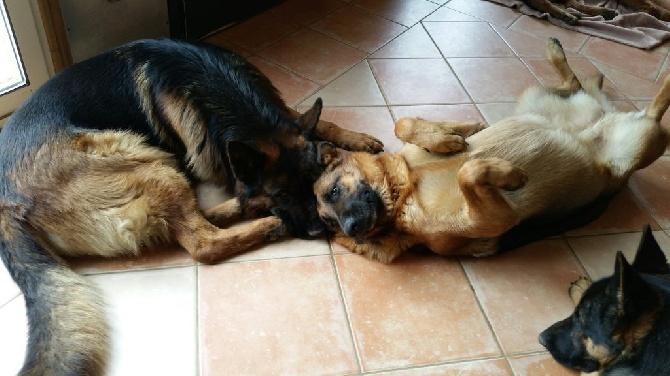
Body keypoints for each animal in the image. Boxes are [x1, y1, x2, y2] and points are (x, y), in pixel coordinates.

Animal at [0, 39, 384, 376]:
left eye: (313, 183)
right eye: (282, 194)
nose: (318, 231)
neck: (222, 93)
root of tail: (7, 203)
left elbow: (316, 121)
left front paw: (355, 139)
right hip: (145, 160)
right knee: (203, 242)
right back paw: (269, 225)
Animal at [314, 37, 670, 262]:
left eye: (333, 191)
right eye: (330, 224)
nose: (351, 228)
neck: (404, 191)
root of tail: (601, 115)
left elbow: (405, 123)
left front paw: (447, 139)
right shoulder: (494, 217)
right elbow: (469, 170)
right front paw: (508, 173)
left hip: (533, 99)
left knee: (576, 85)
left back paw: (557, 51)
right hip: (642, 142)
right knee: (655, 112)